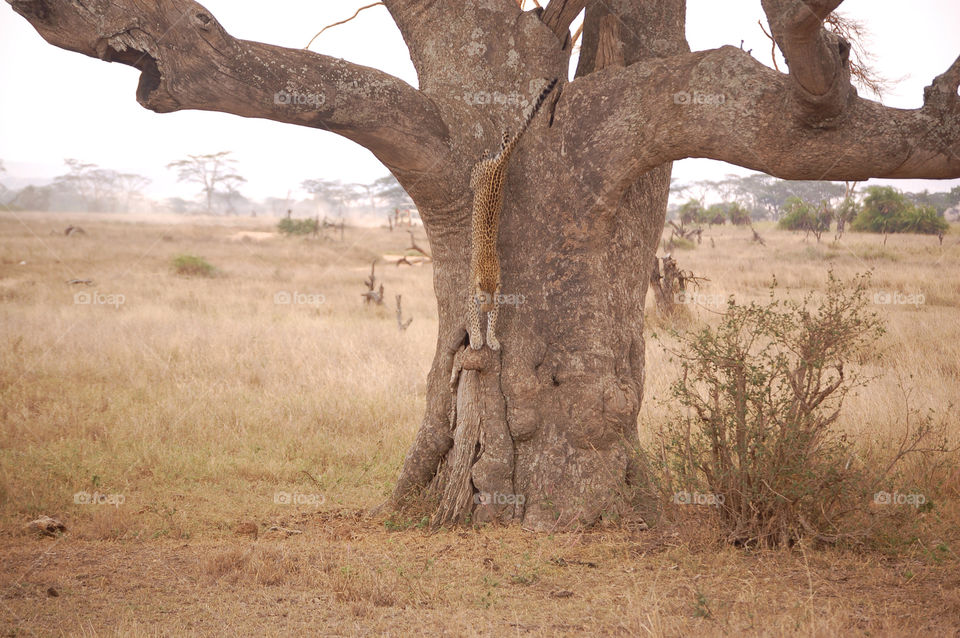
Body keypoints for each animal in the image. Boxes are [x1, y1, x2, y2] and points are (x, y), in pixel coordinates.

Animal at [468, 77, 558, 351]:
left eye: (489, 302)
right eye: (481, 299)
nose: (484, 308)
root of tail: (499, 166)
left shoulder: (499, 290)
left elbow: (494, 319)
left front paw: (492, 338)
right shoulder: (470, 291)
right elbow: (473, 317)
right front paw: (476, 338)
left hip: (490, 169)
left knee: (502, 146)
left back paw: (501, 138)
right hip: (476, 178)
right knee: (480, 165)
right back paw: (489, 149)